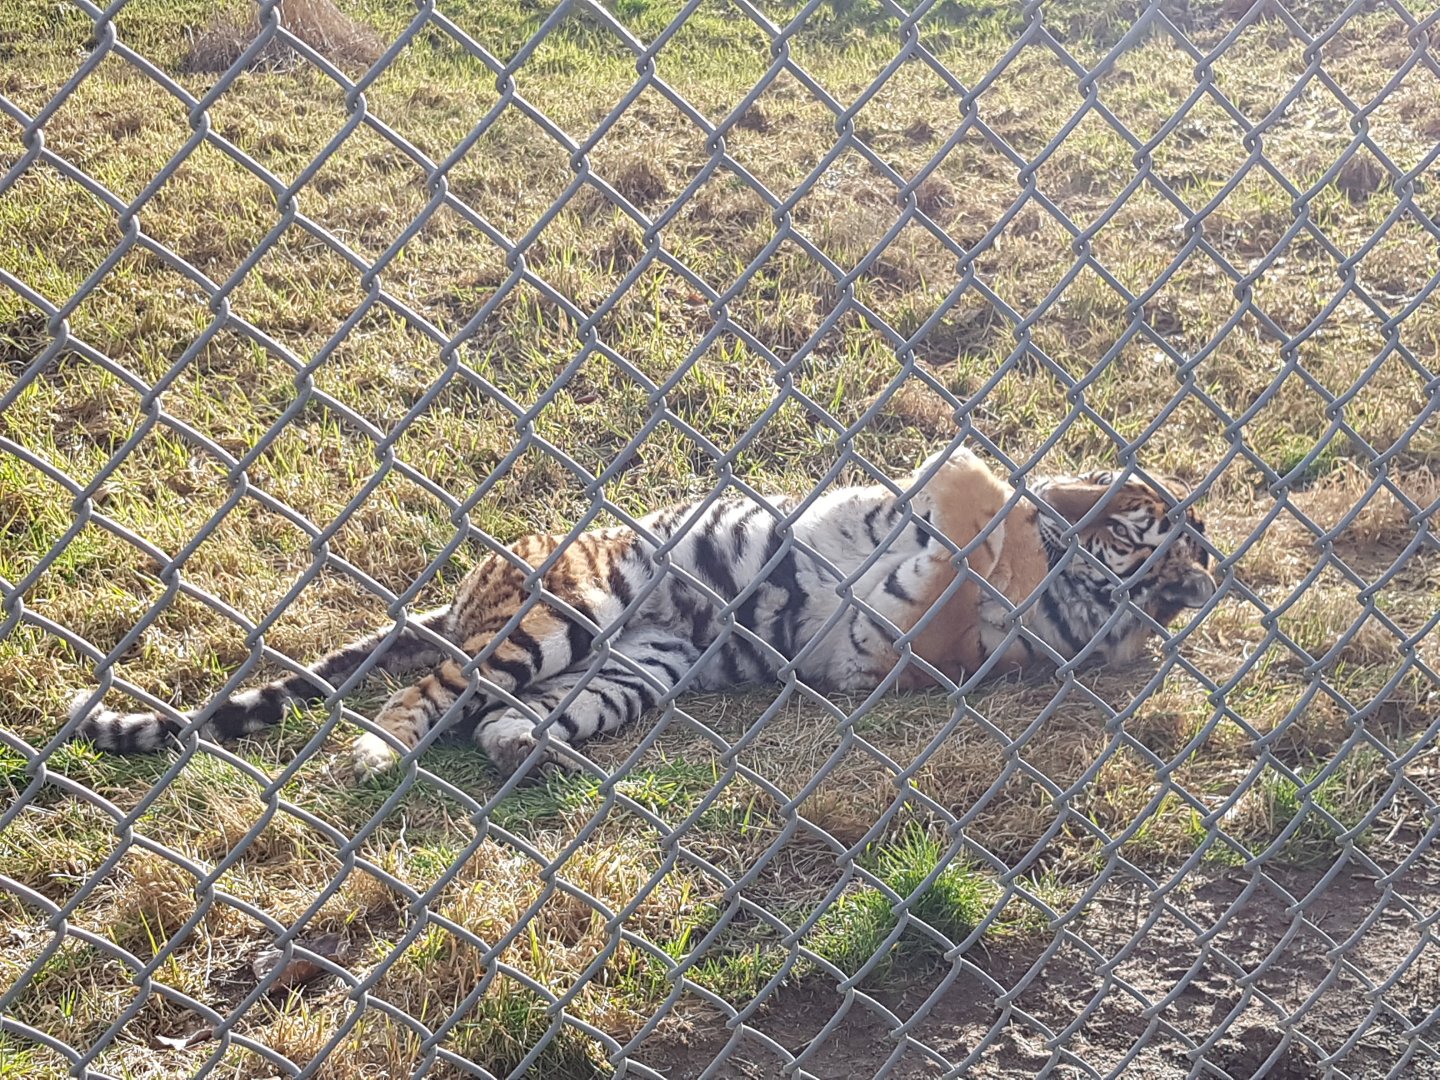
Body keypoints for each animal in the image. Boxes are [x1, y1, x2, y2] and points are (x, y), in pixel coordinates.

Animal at [68, 445, 1216, 780]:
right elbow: (976, 500)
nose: (1187, 583)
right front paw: (1004, 491)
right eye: (1145, 521)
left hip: (623, 658)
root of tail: (481, 579)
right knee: (445, 687)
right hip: (575, 606)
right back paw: (396, 750)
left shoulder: (884, 645)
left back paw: (479, 750)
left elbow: (977, 547)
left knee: (476, 707)